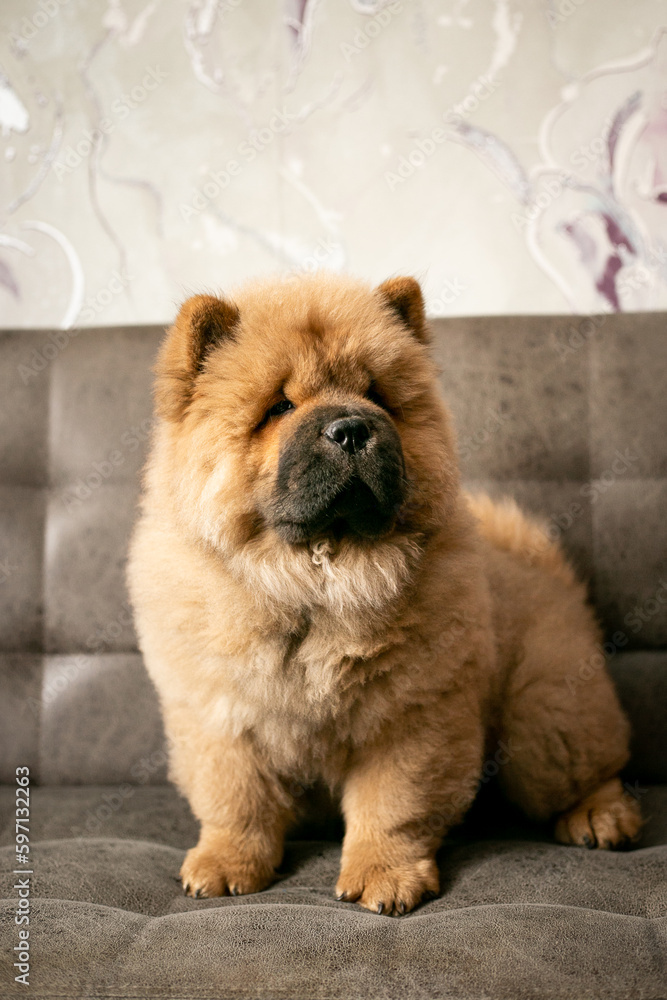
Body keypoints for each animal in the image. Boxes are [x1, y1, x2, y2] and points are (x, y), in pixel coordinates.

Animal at [128, 272, 644, 916]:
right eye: (280, 407)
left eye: (377, 395)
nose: (352, 428)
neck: (320, 577)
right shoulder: (220, 713)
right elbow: (236, 800)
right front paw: (224, 865)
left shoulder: (411, 714)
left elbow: (392, 806)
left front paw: (385, 878)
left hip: (541, 721)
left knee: (592, 764)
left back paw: (602, 817)